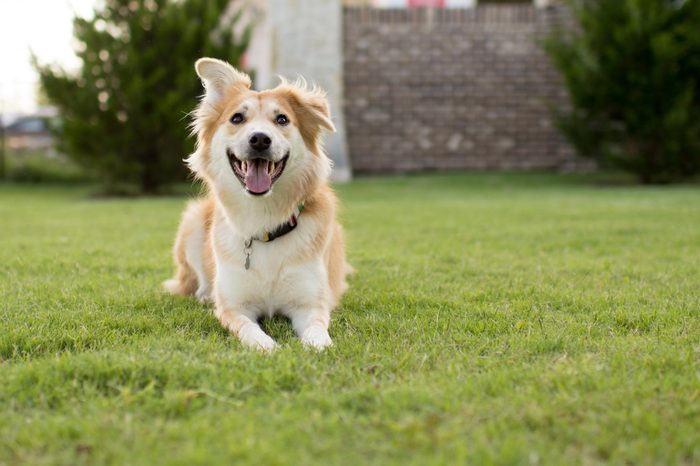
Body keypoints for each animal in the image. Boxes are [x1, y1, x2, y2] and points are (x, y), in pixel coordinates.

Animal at [164, 57, 350, 350]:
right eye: (237, 118)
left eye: (282, 119)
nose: (260, 139)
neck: (264, 218)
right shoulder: (234, 308)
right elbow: (249, 330)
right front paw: (268, 347)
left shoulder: (310, 304)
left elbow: (317, 330)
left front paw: (319, 347)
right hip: (192, 222)